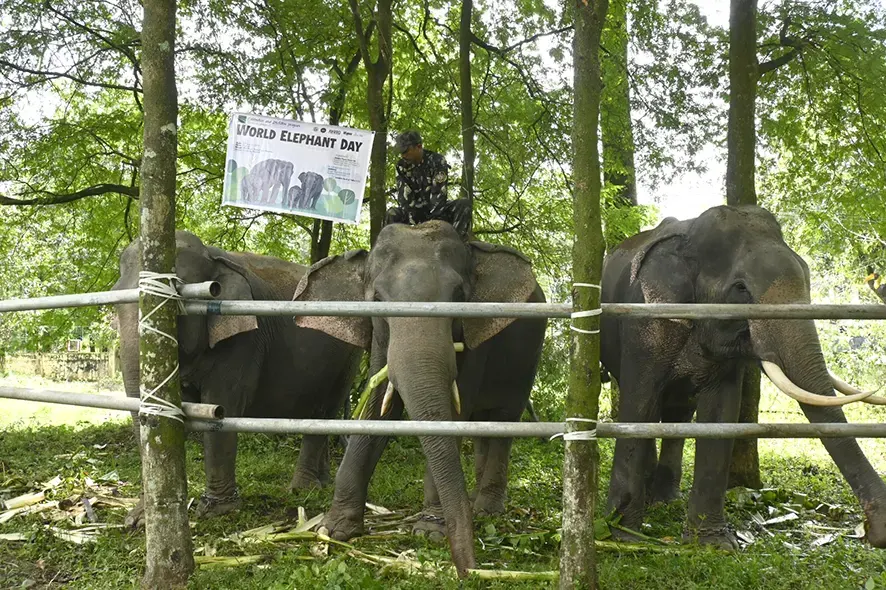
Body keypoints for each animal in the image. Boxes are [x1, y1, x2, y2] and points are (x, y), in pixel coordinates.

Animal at [112, 230, 362, 526]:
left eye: (174, 305)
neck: (211, 257)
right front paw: (139, 518)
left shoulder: (243, 338)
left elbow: (222, 408)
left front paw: (216, 511)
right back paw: (321, 483)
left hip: (348, 352)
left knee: (324, 410)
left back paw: (302, 489)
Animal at [292, 220, 547, 577]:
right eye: (377, 299)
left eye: (460, 297)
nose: (468, 568)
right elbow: (377, 410)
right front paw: (333, 529)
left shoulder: (476, 340)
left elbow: (453, 415)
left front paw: (429, 531)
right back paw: (475, 503)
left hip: (526, 361)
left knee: (502, 422)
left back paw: (486, 509)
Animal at [600, 204, 886, 549]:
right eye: (740, 288)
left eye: (807, 276)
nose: (873, 531)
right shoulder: (644, 323)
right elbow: (638, 403)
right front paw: (622, 536)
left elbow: (721, 413)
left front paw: (713, 545)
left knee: (678, 411)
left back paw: (665, 499)